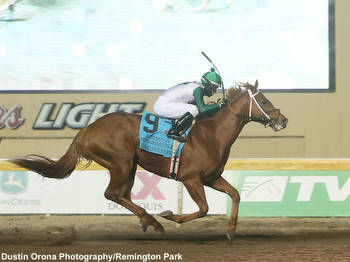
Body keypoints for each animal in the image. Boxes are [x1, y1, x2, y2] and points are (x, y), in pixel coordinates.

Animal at [10, 81, 288, 242]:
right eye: (264, 100)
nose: (283, 120)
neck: (212, 134)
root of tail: (86, 130)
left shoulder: (211, 178)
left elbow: (236, 194)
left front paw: (230, 230)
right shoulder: (191, 179)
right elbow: (204, 209)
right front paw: (170, 216)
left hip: (130, 165)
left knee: (122, 195)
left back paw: (147, 220)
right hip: (120, 162)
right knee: (112, 193)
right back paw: (153, 220)